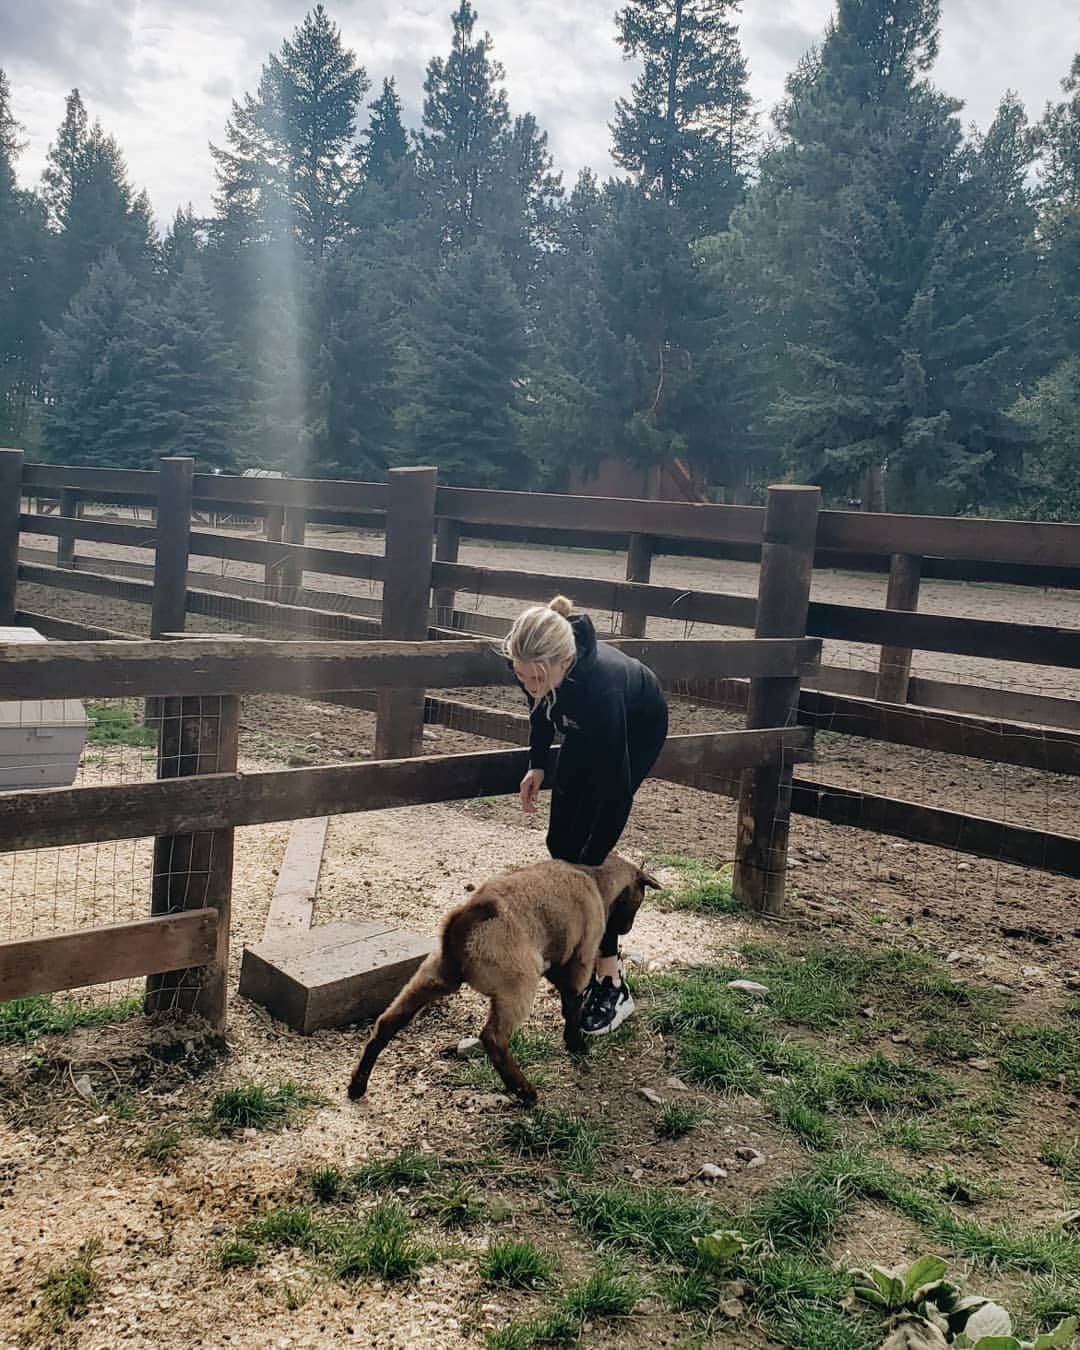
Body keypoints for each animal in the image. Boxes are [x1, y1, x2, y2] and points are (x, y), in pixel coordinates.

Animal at [345, 853, 658, 1107]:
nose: (625, 929)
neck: (594, 878)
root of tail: (470, 914)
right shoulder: (580, 962)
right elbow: (572, 1008)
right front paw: (576, 1045)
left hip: (432, 977)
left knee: (387, 1022)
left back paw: (357, 1086)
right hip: (518, 987)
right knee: (493, 1038)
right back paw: (525, 1092)